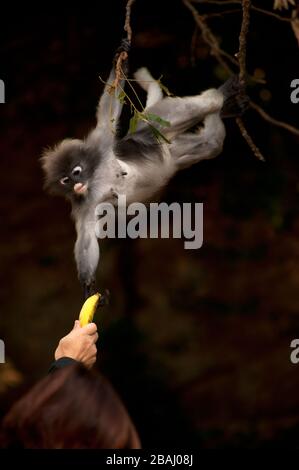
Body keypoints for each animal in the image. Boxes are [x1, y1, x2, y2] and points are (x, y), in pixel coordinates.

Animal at [42, 39, 248, 298]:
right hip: (172, 152)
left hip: (157, 124)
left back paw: (220, 95)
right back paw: (225, 110)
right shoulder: (82, 203)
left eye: (76, 172)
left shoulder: (100, 146)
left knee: (200, 107)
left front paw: (120, 59)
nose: (77, 184)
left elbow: (107, 114)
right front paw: (88, 285)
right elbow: (87, 233)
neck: (95, 178)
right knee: (212, 143)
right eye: (65, 180)